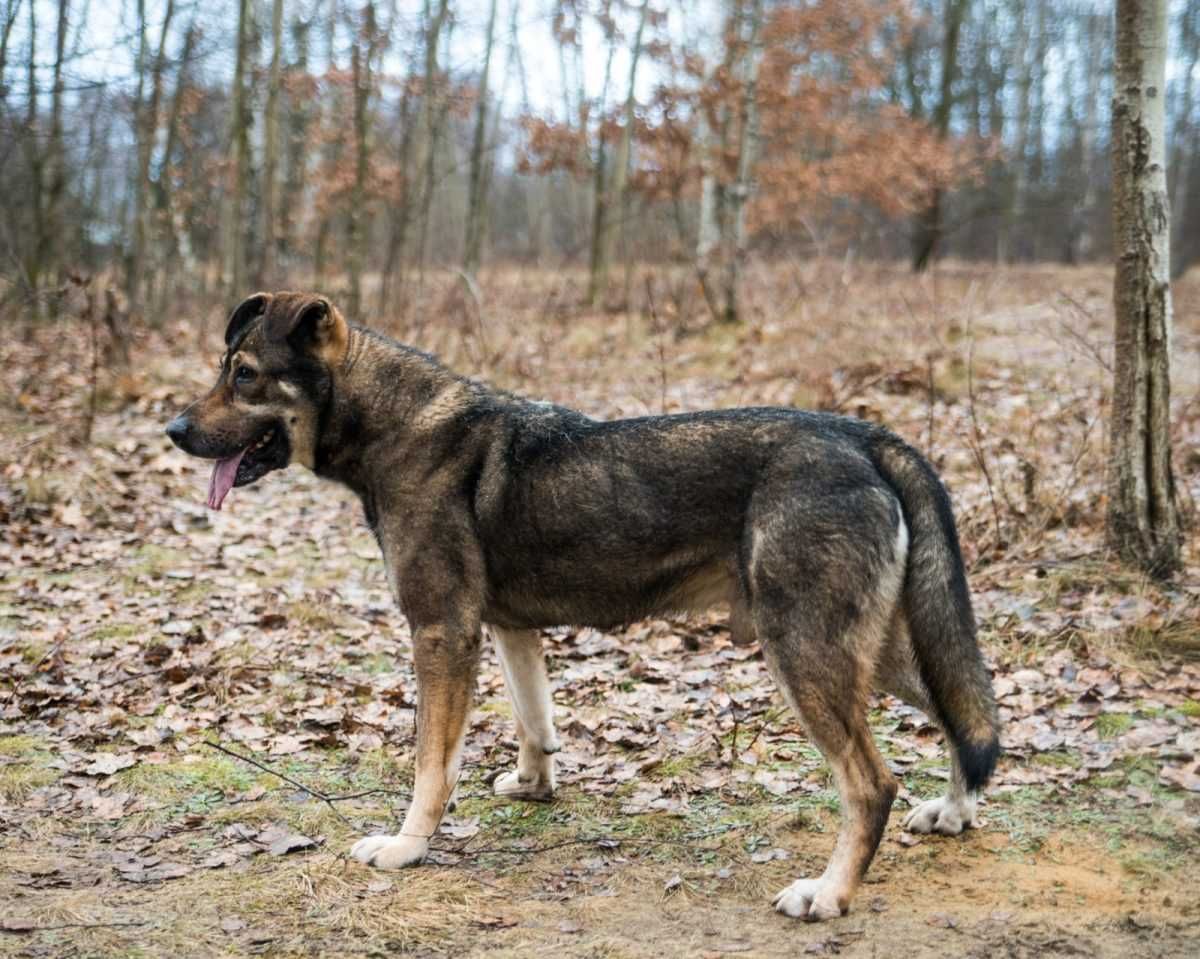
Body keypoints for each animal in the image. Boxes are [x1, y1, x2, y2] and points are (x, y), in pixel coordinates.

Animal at [164, 292, 998, 921]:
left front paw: (407, 846)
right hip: (874, 652)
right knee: (966, 719)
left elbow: (432, 765)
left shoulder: (442, 634)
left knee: (872, 781)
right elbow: (536, 724)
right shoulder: (508, 630)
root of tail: (861, 435)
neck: (394, 423)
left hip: (805, 651)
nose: (173, 430)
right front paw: (535, 787)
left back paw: (829, 892)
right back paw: (953, 811)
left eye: (245, 376)